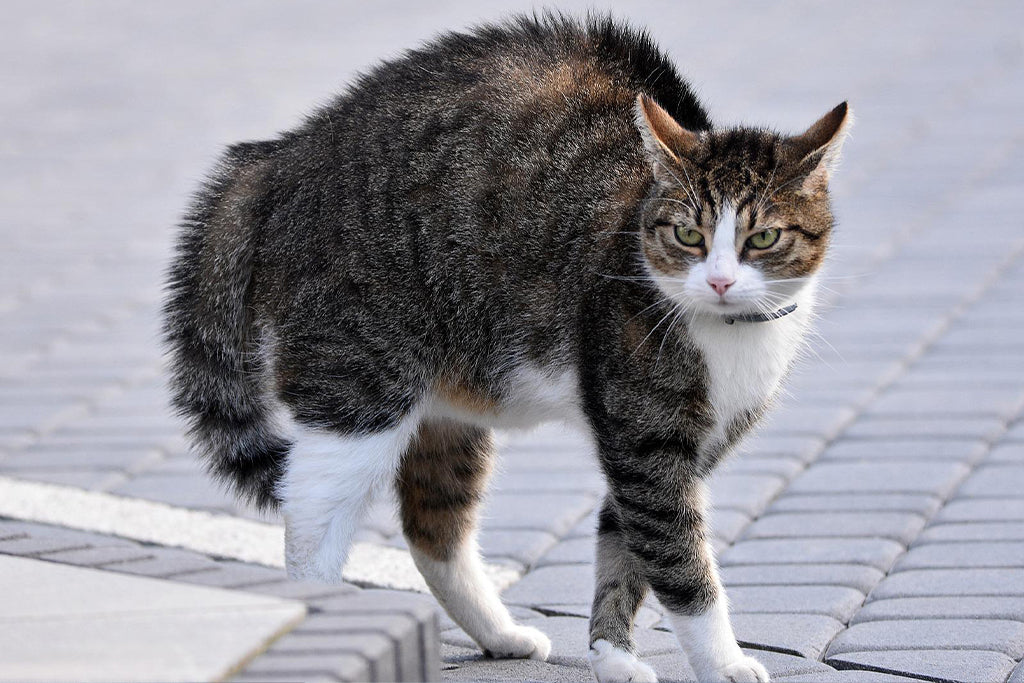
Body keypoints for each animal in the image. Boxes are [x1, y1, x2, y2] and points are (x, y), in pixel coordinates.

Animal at [161, 12, 847, 683]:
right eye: (687, 235)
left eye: (763, 238)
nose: (720, 280)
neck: (729, 334)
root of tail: (288, 150)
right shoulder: (644, 440)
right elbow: (680, 565)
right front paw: (722, 660)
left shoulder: (675, 447)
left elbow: (624, 547)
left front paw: (612, 653)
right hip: (361, 384)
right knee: (312, 518)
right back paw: (328, 608)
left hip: (447, 405)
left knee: (433, 528)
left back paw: (498, 632)